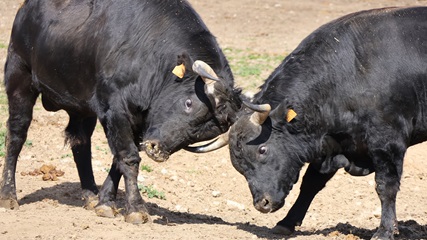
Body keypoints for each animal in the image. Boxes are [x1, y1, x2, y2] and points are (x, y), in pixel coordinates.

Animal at [226, 7, 426, 240]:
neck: (351, 72)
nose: (262, 203)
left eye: (262, 150)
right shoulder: (331, 145)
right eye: (240, 166)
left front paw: (385, 230)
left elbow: (386, 187)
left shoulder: (388, 142)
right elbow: (311, 184)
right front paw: (287, 222)